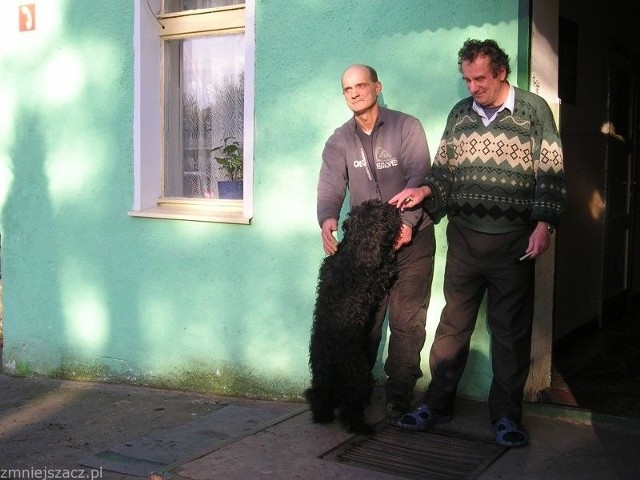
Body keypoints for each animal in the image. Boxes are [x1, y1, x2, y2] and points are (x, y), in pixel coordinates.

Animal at [304, 199, 400, 436]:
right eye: (382, 210)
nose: (394, 207)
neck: (355, 246)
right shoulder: (376, 278)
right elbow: (386, 268)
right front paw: (392, 253)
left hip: (322, 375)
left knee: (321, 398)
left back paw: (323, 416)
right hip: (359, 375)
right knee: (351, 408)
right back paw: (362, 427)